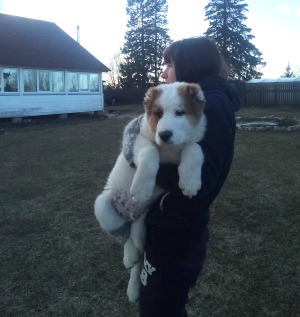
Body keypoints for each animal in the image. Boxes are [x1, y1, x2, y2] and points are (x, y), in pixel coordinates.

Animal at [94, 81, 206, 302]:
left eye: (180, 112)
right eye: (157, 113)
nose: (164, 135)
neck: (171, 149)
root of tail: (129, 213)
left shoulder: (190, 143)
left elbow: (194, 149)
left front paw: (190, 182)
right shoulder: (140, 141)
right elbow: (150, 152)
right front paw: (142, 189)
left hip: (141, 225)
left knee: (138, 252)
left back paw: (133, 286)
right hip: (103, 208)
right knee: (124, 236)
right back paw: (128, 258)